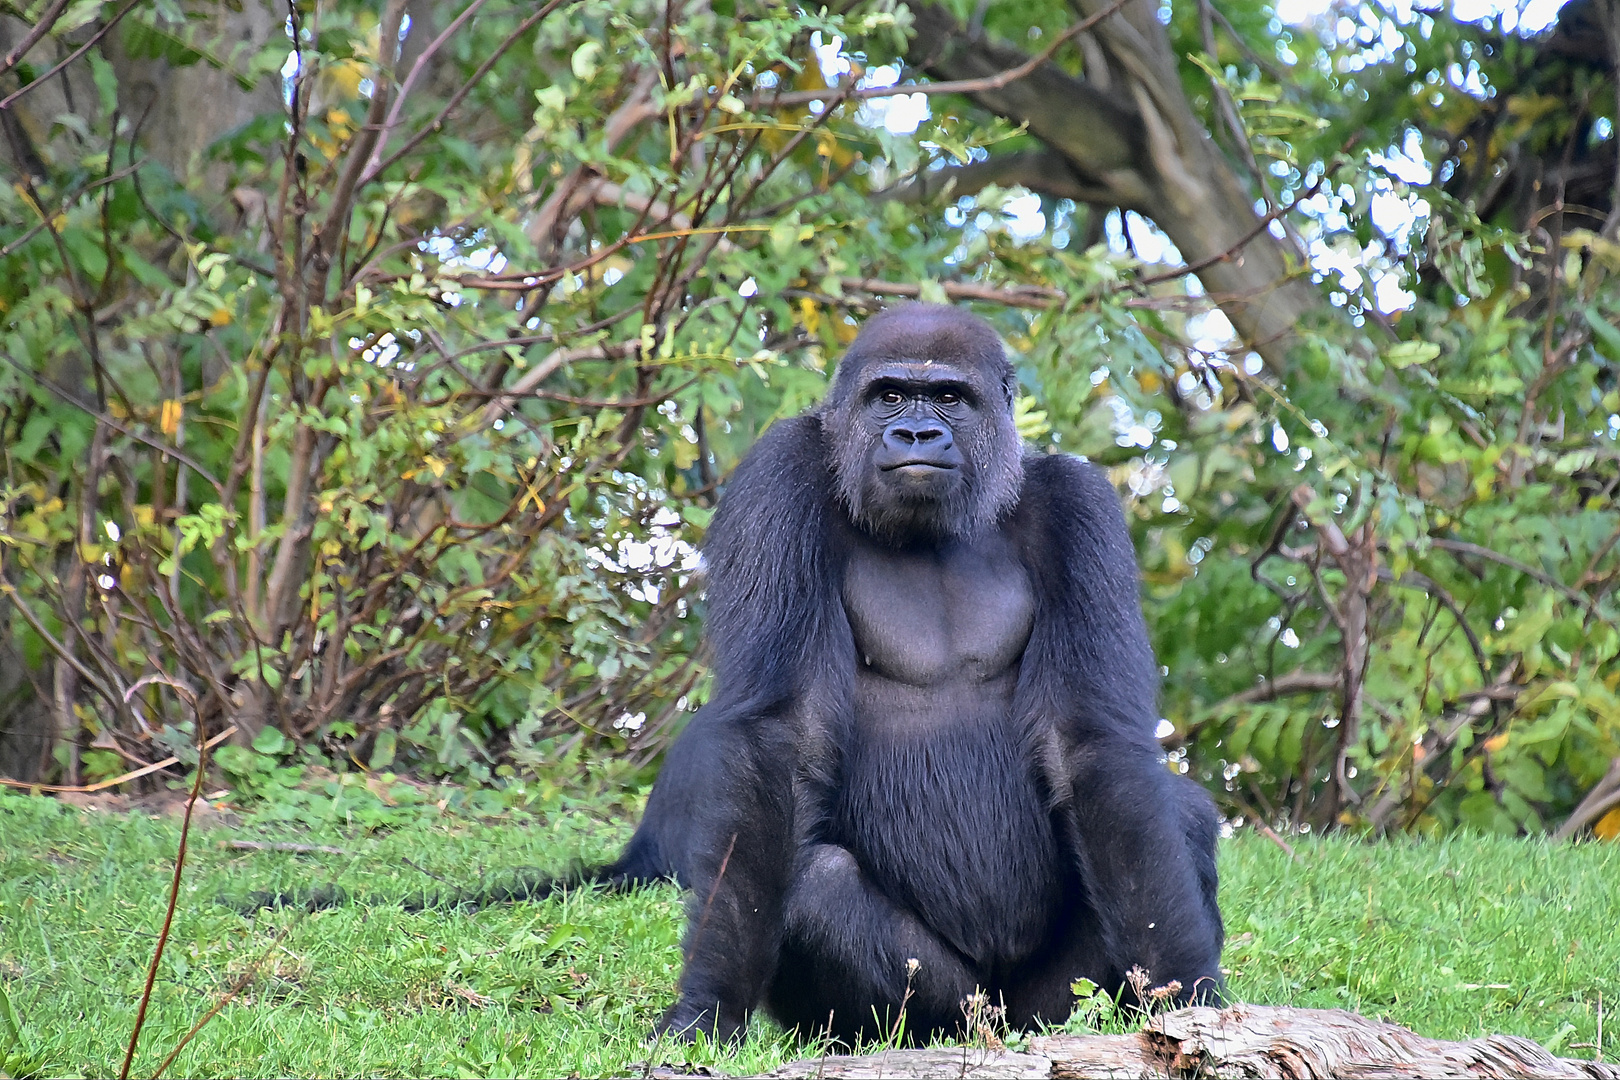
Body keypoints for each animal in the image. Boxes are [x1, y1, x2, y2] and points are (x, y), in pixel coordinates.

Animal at [602, 299, 1218, 1042]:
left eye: (949, 398)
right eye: (891, 395)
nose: (917, 432)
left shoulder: (1081, 506)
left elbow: (1091, 746)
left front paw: (1188, 993)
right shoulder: (779, 477)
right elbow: (783, 733)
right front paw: (711, 1003)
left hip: (1048, 1011)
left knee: (1179, 819)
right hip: (956, 1013)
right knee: (823, 885)